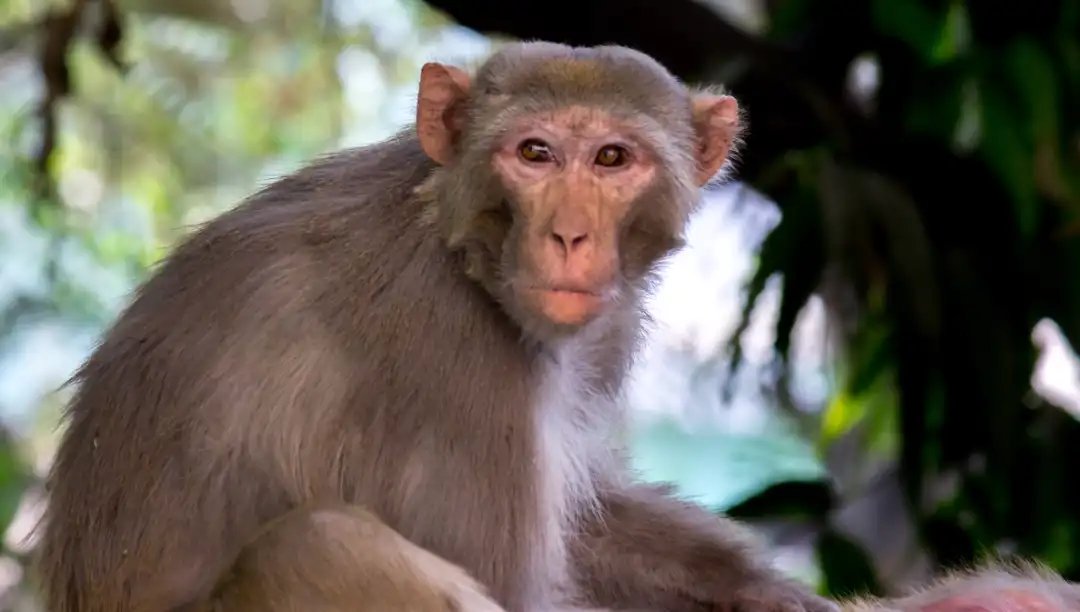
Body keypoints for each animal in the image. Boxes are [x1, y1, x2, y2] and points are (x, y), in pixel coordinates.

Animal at [34, 40, 840, 612]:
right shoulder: (450, 356)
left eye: (613, 158)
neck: (463, 246)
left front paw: (762, 589)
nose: (570, 236)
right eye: (535, 153)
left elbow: (584, 522)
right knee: (321, 544)